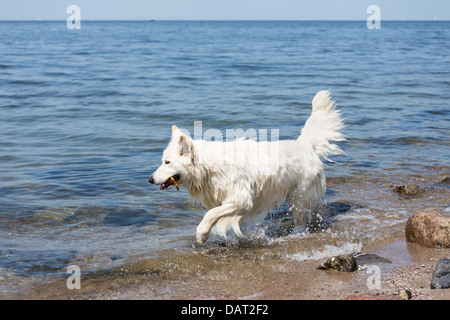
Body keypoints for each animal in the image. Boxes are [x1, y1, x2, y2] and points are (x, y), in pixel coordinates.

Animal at [149, 90, 342, 245]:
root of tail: (303, 144)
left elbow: (210, 214)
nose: (150, 179)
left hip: (299, 196)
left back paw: (296, 234)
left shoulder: (242, 200)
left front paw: (202, 234)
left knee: (301, 220)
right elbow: (216, 214)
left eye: (167, 162)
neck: (208, 166)